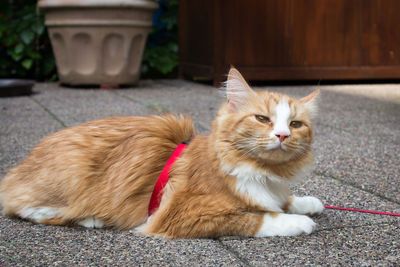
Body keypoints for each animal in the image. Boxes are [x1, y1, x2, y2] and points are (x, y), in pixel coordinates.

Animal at [0, 67, 324, 239]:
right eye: (262, 119)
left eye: (295, 124)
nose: (282, 135)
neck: (263, 172)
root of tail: (19, 167)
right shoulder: (187, 214)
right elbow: (260, 217)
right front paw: (299, 221)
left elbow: (285, 201)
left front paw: (306, 203)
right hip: (72, 173)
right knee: (26, 208)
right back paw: (91, 219)